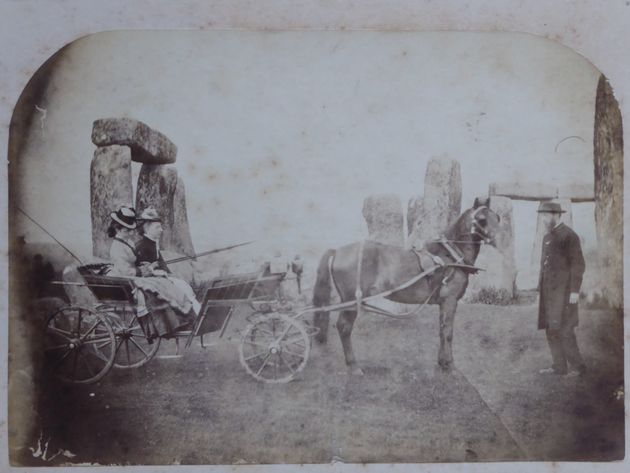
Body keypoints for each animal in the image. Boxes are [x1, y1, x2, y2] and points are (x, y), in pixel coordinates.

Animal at [314, 197, 502, 374]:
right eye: (482, 219)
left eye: (497, 217)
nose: (499, 240)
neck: (451, 255)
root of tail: (337, 251)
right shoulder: (450, 300)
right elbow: (448, 333)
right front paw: (450, 365)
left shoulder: (444, 303)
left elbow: (442, 331)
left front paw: (442, 362)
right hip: (351, 302)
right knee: (344, 327)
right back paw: (354, 366)